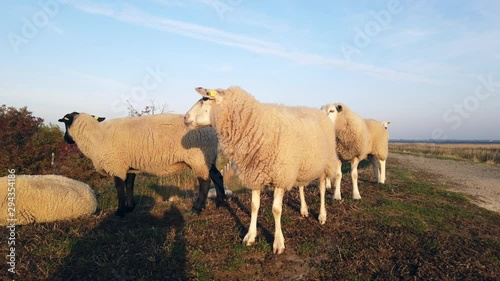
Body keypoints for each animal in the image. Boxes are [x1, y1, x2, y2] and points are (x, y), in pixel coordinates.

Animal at [57, 110, 227, 215]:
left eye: (65, 122)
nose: (66, 139)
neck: (96, 136)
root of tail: (212, 130)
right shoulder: (129, 166)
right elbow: (129, 185)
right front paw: (130, 207)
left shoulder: (116, 165)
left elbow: (119, 188)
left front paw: (120, 211)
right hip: (207, 157)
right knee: (217, 176)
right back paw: (221, 202)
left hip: (197, 158)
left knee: (205, 182)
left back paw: (197, 208)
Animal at [184, 86, 336, 254]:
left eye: (204, 99)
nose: (185, 117)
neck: (254, 125)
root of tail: (316, 110)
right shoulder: (255, 175)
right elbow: (254, 206)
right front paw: (250, 236)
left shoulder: (279, 177)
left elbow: (276, 210)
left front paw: (278, 242)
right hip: (301, 166)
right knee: (302, 186)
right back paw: (304, 210)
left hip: (325, 162)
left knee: (321, 188)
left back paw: (322, 215)